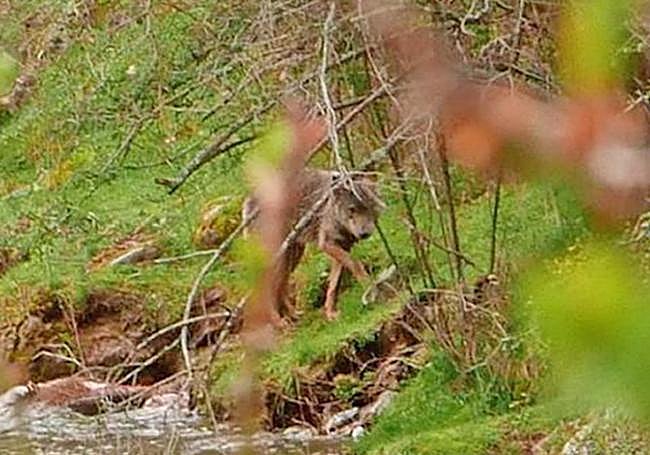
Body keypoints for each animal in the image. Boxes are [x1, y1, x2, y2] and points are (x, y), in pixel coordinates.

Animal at [243, 169, 383, 322]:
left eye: (368, 206)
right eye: (351, 210)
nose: (364, 234)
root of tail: (247, 203)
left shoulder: (343, 247)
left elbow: (334, 284)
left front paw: (330, 313)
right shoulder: (327, 244)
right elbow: (356, 265)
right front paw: (371, 291)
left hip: (292, 257)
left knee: (280, 286)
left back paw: (293, 315)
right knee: (265, 289)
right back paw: (279, 322)